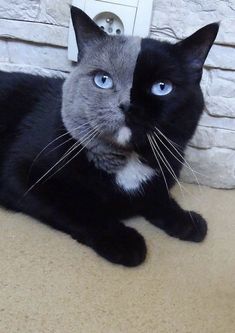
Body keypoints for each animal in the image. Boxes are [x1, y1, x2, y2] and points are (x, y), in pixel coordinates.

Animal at [0, 7, 218, 268]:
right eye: (103, 80)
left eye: (162, 87)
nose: (126, 105)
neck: (128, 158)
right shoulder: (20, 173)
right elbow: (79, 206)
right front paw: (124, 241)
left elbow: (158, 197)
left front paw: (186, 220)